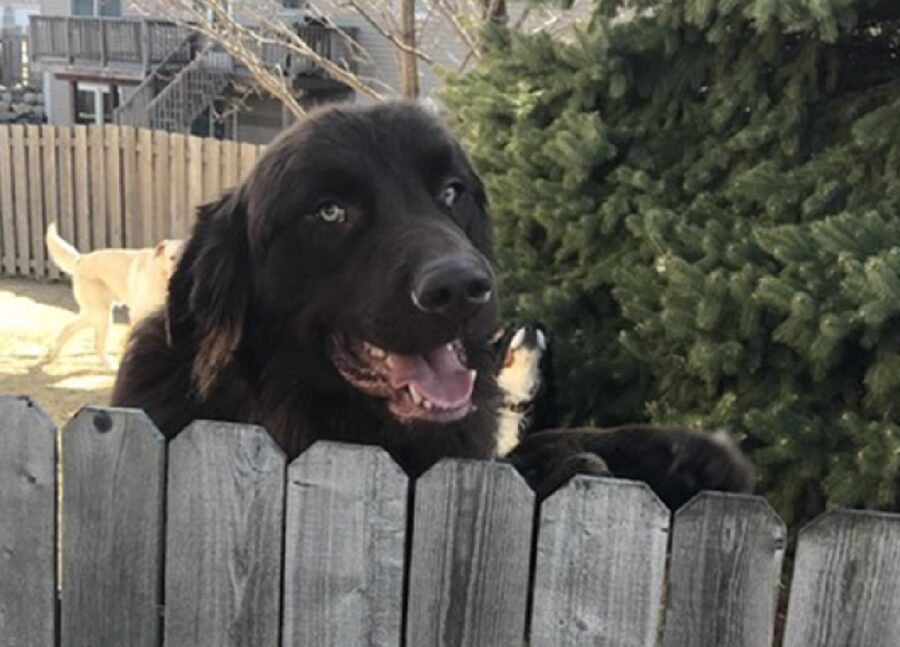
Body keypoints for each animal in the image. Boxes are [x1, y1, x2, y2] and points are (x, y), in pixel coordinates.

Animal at [44, 223, 183, 372]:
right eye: (172, 258)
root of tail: (82, 259)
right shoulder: (140, 315)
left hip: (94, 313)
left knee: (68, 328)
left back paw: (53, 354)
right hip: (102, 314)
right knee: (97, 345)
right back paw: (111, 367)